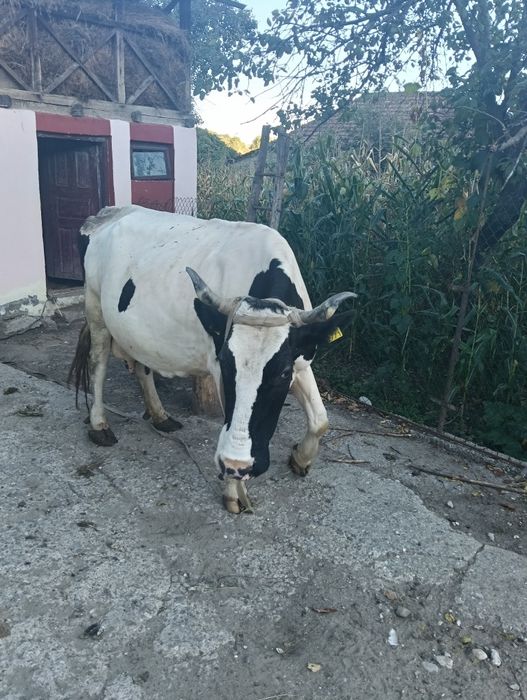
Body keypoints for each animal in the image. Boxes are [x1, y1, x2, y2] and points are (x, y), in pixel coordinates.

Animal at [69, 205, 356, 513]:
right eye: (227, 365)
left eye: (281, 373)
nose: (238, 465)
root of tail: (109, 212)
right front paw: (233, 489)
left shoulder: (301, 360)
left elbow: (320, 420)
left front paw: (300, 458)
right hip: (95, 309)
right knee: (98, 364)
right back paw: (99, 424)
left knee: (143, 367)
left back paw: (160, 416)